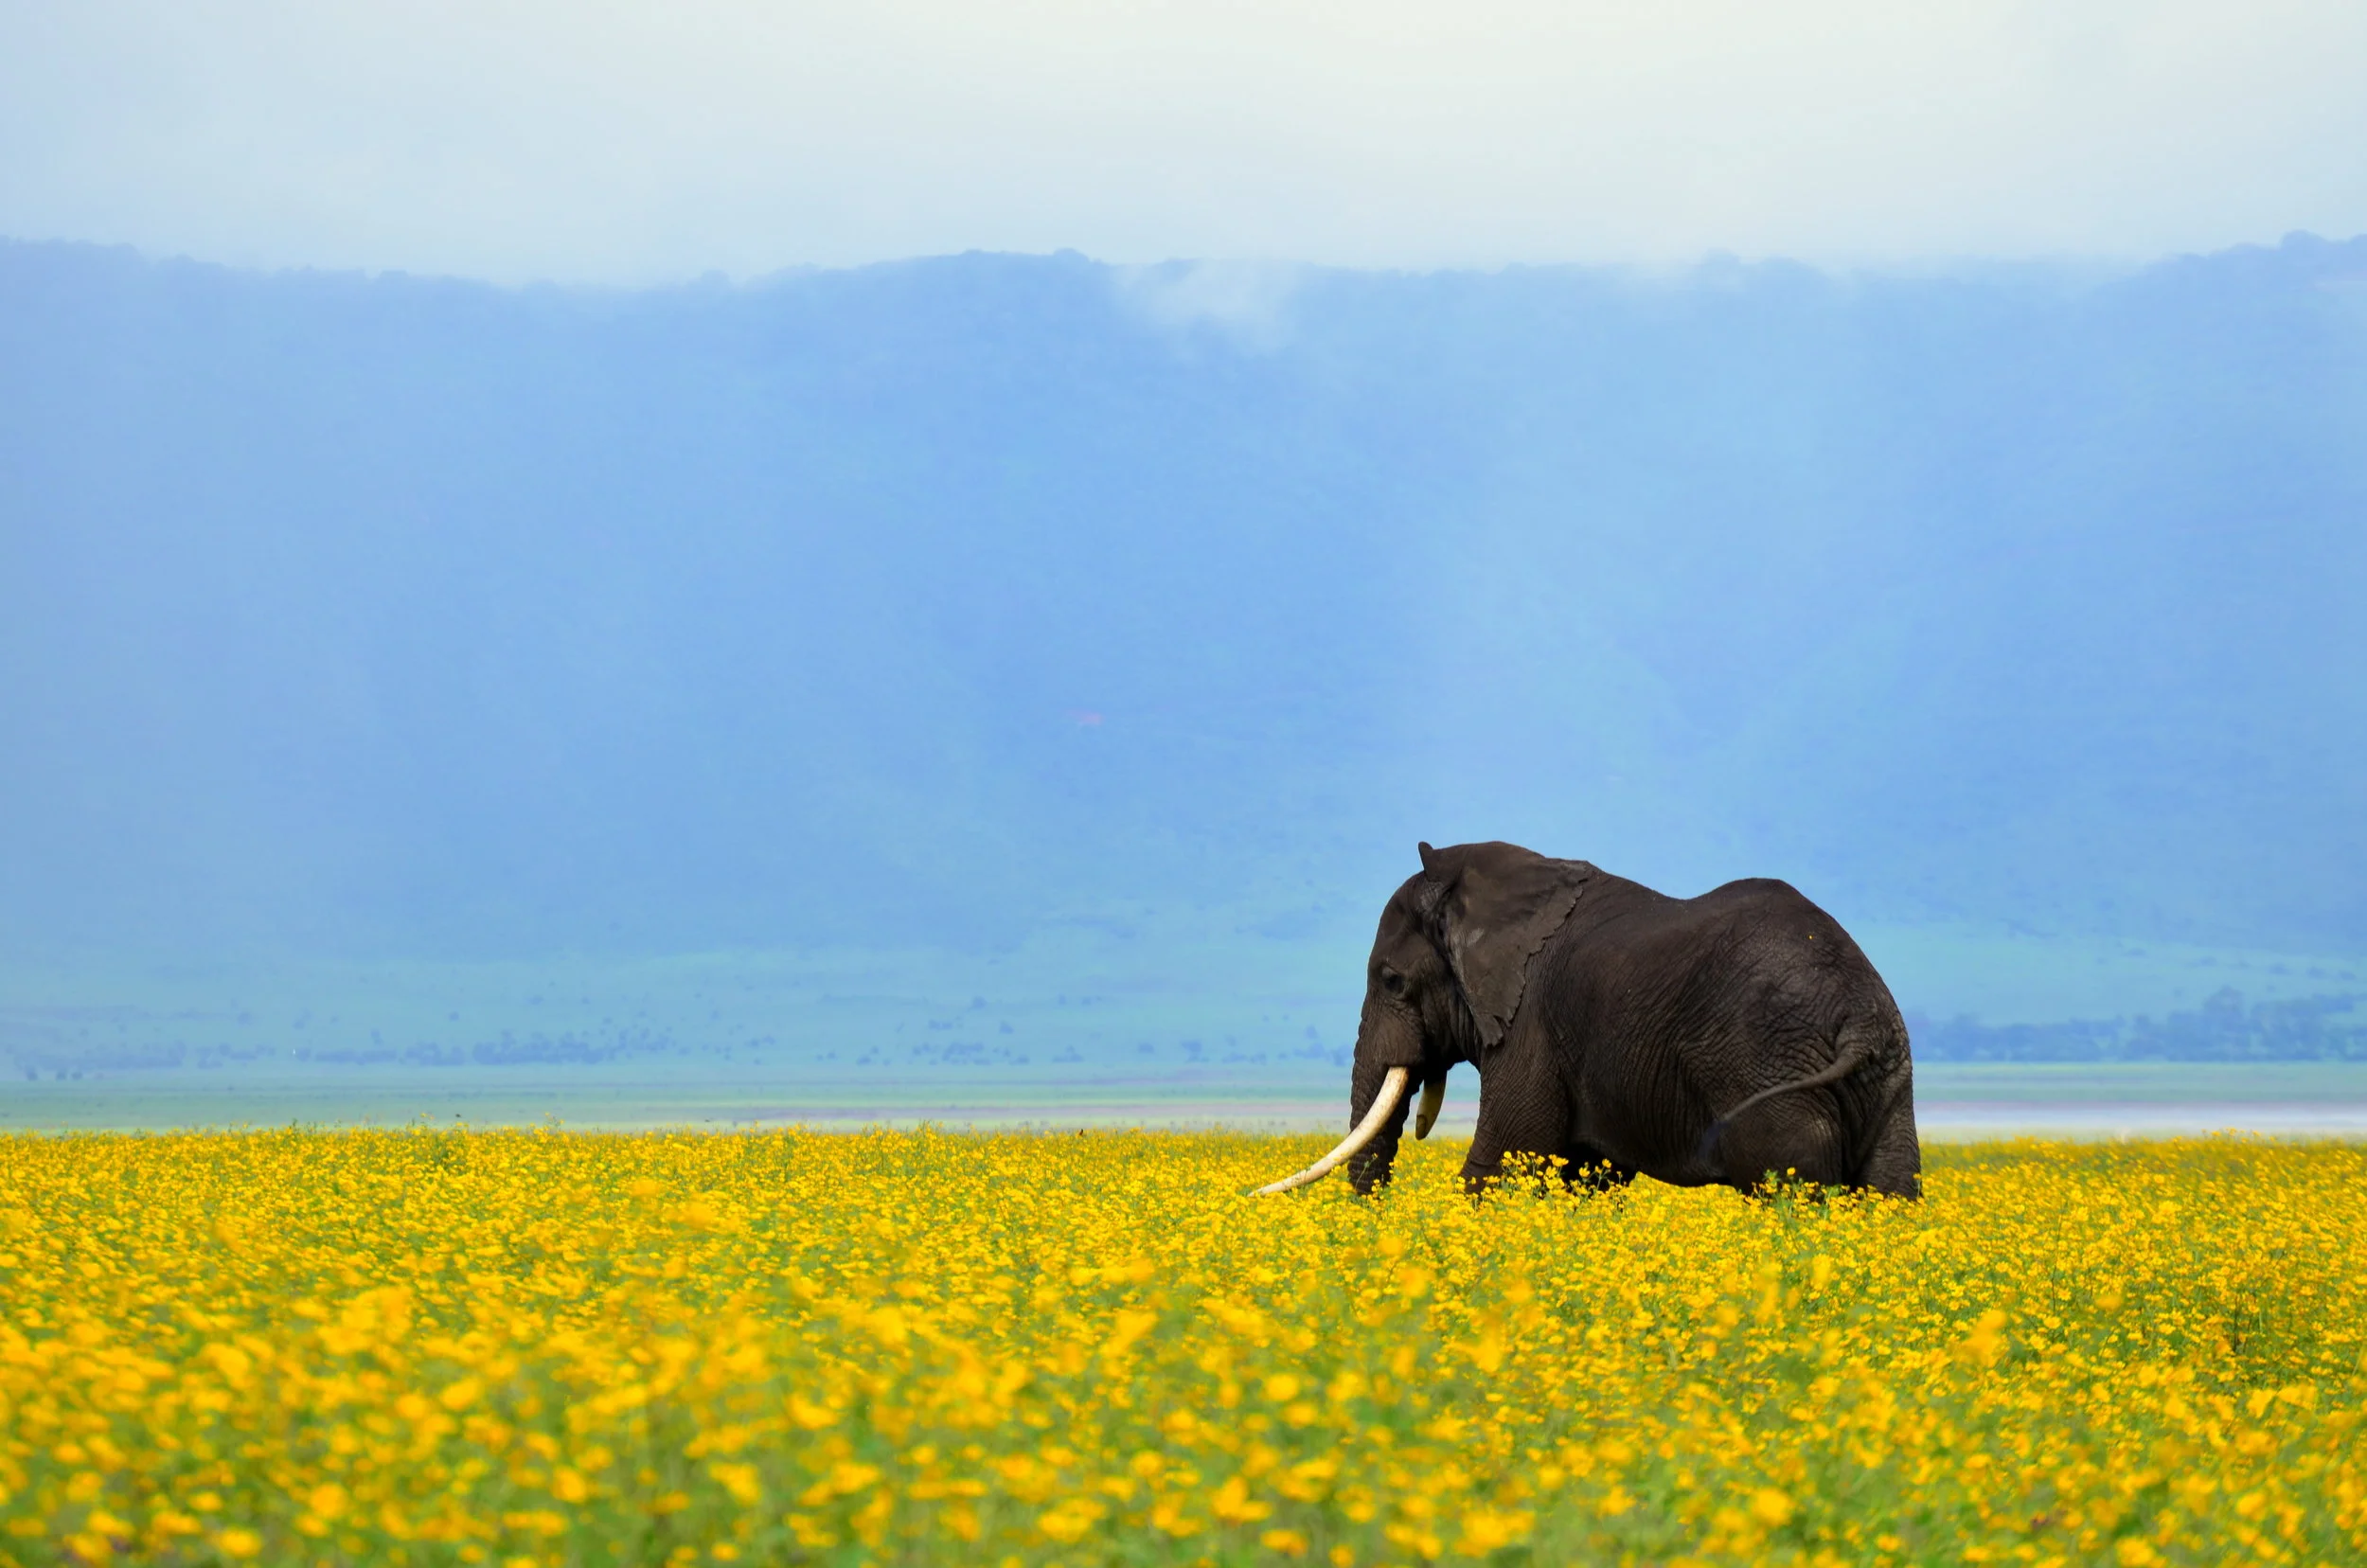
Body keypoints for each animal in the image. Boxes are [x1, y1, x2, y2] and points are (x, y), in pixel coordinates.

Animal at [1256, 840, 1919, 1199]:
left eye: (1393, 980)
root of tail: (1859, 1017)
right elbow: (1584, 1176)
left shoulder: (1531, 1022)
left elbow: (1505, 1159)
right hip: (1888, 1080)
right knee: (1890, 1189)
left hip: (1768, 1072)